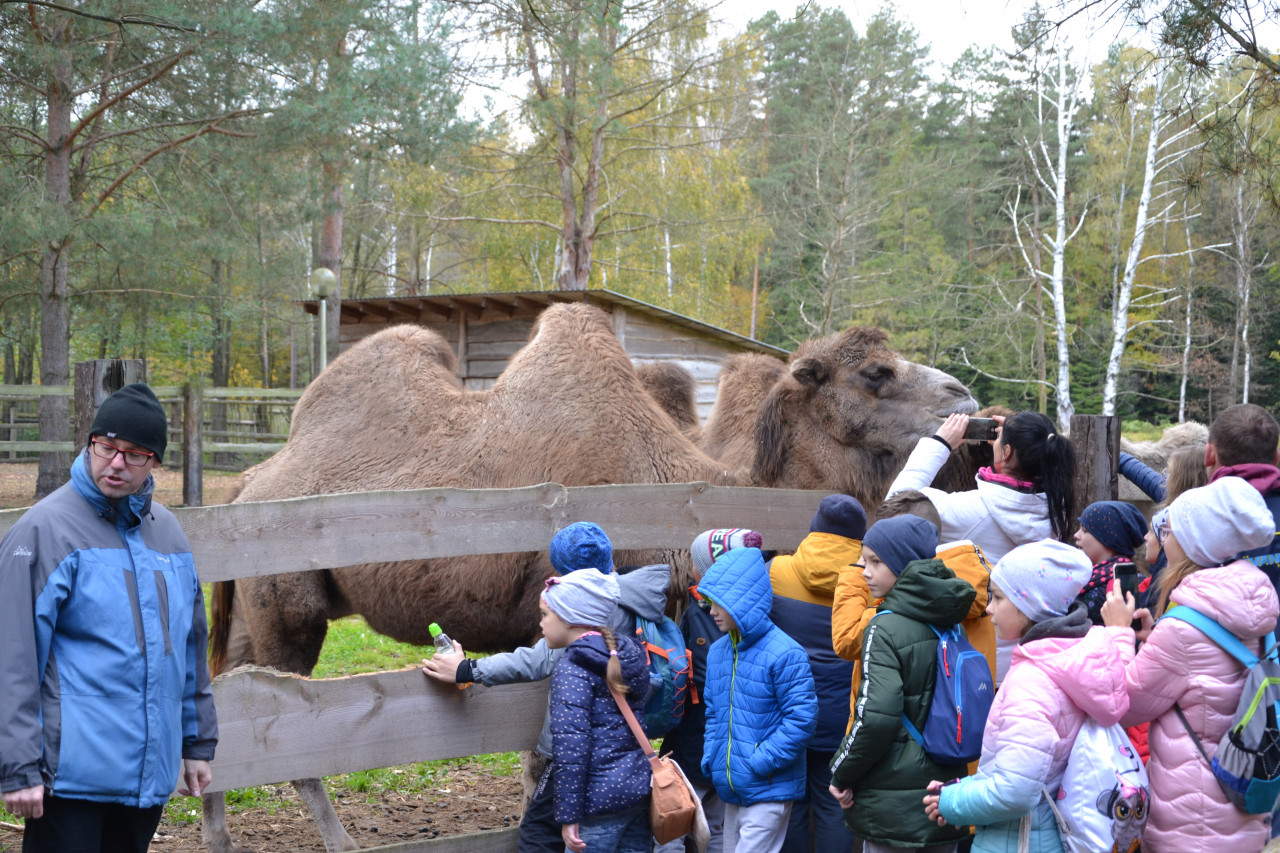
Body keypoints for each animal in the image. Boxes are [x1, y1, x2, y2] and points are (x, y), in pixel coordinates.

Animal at [202, 304, 978, 853]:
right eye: (874, 372)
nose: (964, 395)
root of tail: (245, 483)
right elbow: (541, 755)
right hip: (290, 608)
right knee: (288, 719)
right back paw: (338, 839)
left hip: (256, 609)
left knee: (226, 695)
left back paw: (218, 832)